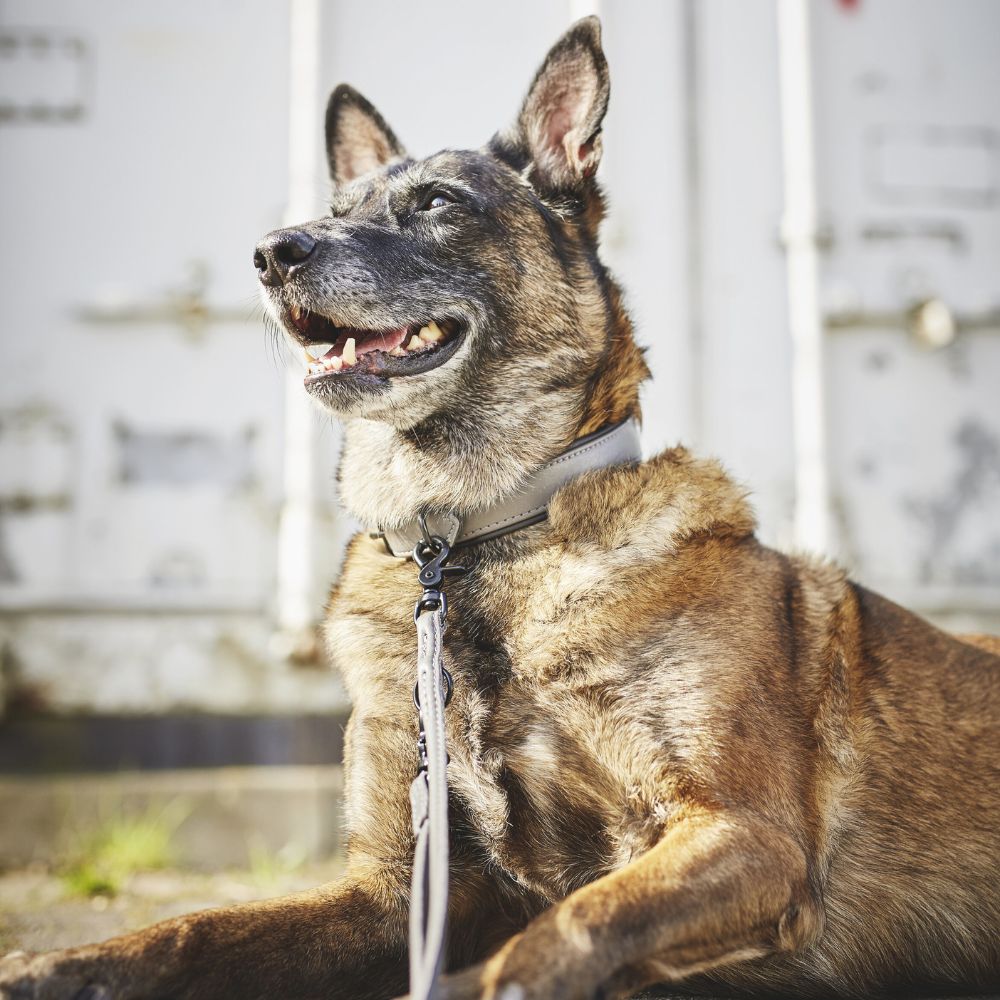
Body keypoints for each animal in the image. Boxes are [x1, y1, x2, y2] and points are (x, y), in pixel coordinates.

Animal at [1, 15, 1000, 1000]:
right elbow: (196, 930)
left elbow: (565, 928)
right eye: (336, 210)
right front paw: (61, 965)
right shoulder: (395, 892)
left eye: (438, 203)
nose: (273, 252)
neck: (472, 539)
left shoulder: (741, 833)